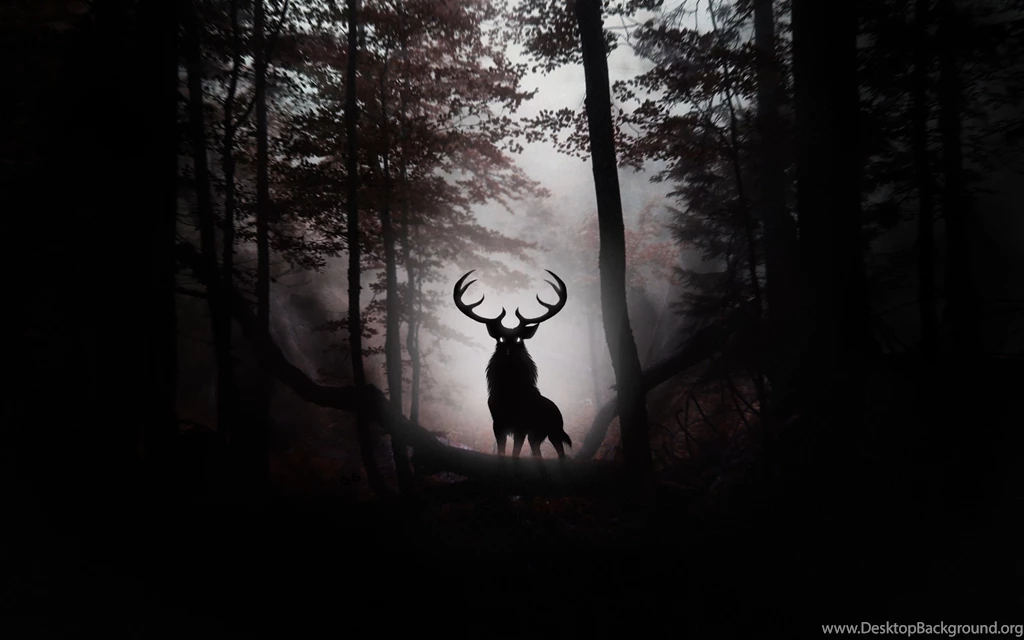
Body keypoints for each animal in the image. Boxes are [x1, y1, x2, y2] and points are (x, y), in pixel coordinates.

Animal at [454, 270, 573, 459]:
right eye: (501, 339)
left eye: (518, 339)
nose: (509, 351)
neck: (509, 394)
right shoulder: (497, 423)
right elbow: (502, 451)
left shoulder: (521, 426)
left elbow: (515, 453)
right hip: (537, 436)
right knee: (537, 452)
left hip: (554, 430)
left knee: (561, 453)